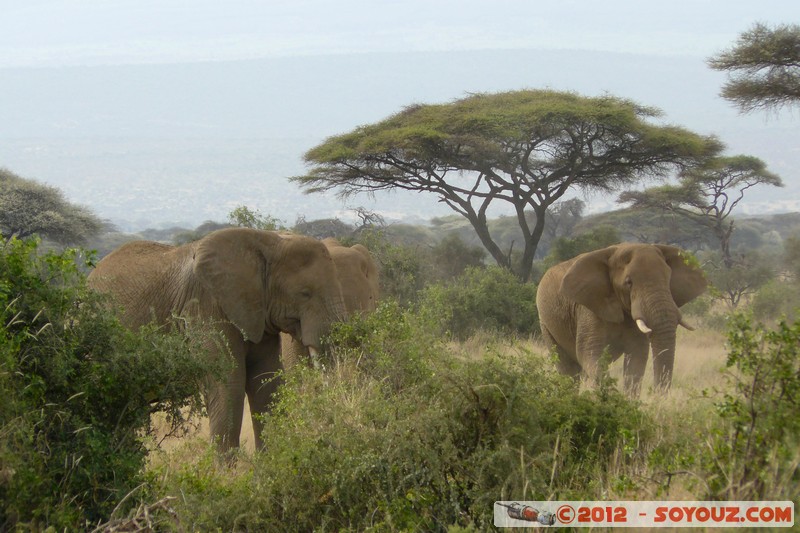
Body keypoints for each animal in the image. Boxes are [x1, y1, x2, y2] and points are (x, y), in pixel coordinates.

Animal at [87, 228, 346, 451]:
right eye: (305, 293)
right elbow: (228, 386)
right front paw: (227, 474)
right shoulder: (205, 306)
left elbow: (265, 383)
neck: (268, 241)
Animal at [536, 243, 707, 395]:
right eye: (628, 282)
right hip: (546, 325)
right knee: (567, 369)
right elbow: (590, 354)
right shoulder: (588, 309)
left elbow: (637, 357)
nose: (657, 398)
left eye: (669, 279)